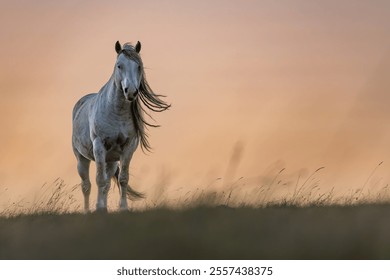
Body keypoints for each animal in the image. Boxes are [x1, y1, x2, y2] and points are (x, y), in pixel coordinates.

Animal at [72, 40, 170, 212]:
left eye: (138, 66)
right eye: (119, 65)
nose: (130, 91)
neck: (117, 112)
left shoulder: (128, 148)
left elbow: (123, 179)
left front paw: (123, 208)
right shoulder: (99, 146)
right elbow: (99, 179)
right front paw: (99, 208)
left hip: (111, 161)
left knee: (106, 183)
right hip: (82, 158)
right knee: (86, 185)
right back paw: (88, 210)